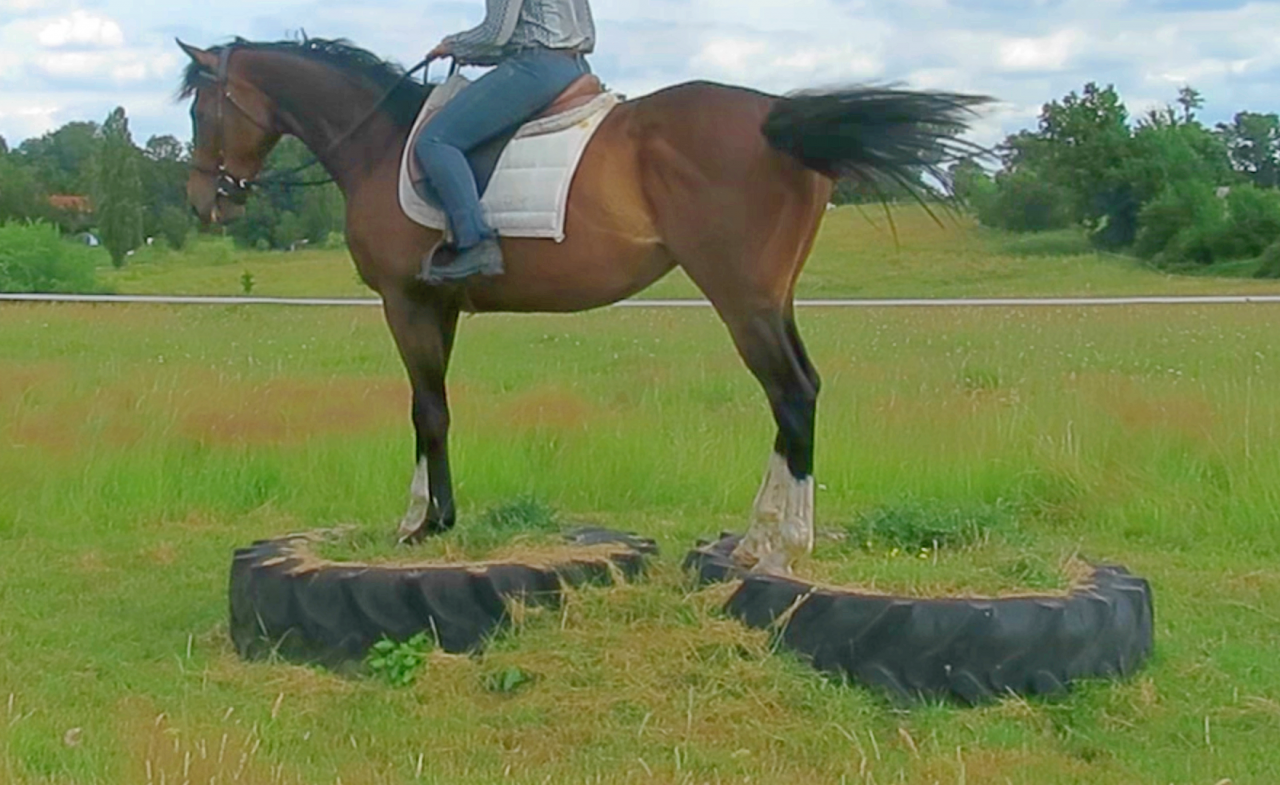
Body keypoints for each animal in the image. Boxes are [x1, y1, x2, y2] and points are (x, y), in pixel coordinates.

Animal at [177, 36, 990, 575]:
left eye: (203, 108)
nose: (202, 201)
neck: (379, 143)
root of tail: (773, 118)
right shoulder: (436, 307)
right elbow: (428, 409)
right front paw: (425, 515)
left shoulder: (405, 304)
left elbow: (428, 412)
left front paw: (425, 526)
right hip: (773, 295)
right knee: (805, 391)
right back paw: (778, 535)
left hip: (740, 297)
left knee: (790, 393)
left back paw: (772, 541)